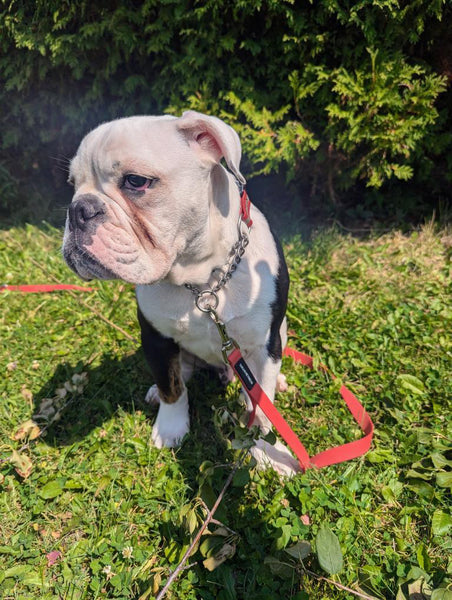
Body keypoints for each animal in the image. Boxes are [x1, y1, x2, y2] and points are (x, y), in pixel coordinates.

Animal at [61, 110, 298, 476]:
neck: (202, 280)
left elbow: (261, 409)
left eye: (136, 181)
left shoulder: (263, 345)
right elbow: (172, 387)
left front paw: (268, 452)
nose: (78, 209)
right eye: (73, 185)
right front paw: (171, 427)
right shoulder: (157, 338)